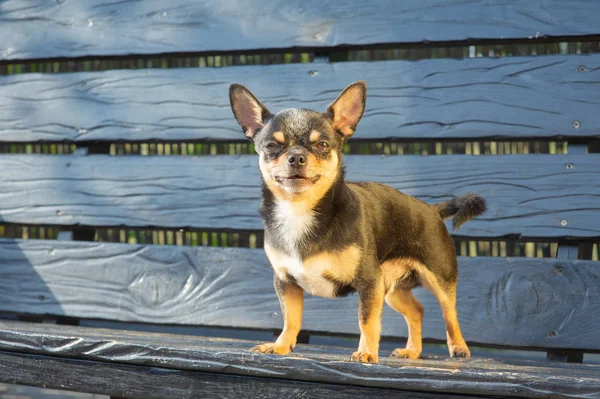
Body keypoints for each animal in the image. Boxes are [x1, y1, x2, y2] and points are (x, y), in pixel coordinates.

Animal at [227, 82, 486, 366]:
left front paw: (366, 352)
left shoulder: (368, 282)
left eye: (323, 144)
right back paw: (412, 351)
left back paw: (459, 347)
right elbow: (291, 319)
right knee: (416, 310)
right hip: (390, 289)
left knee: (449, 312)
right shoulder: (286, 282)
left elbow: (367, 320)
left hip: (438, 279)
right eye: (272, 146)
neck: (300, 210)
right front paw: (281, 346)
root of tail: (432, 209)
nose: (296, 157)